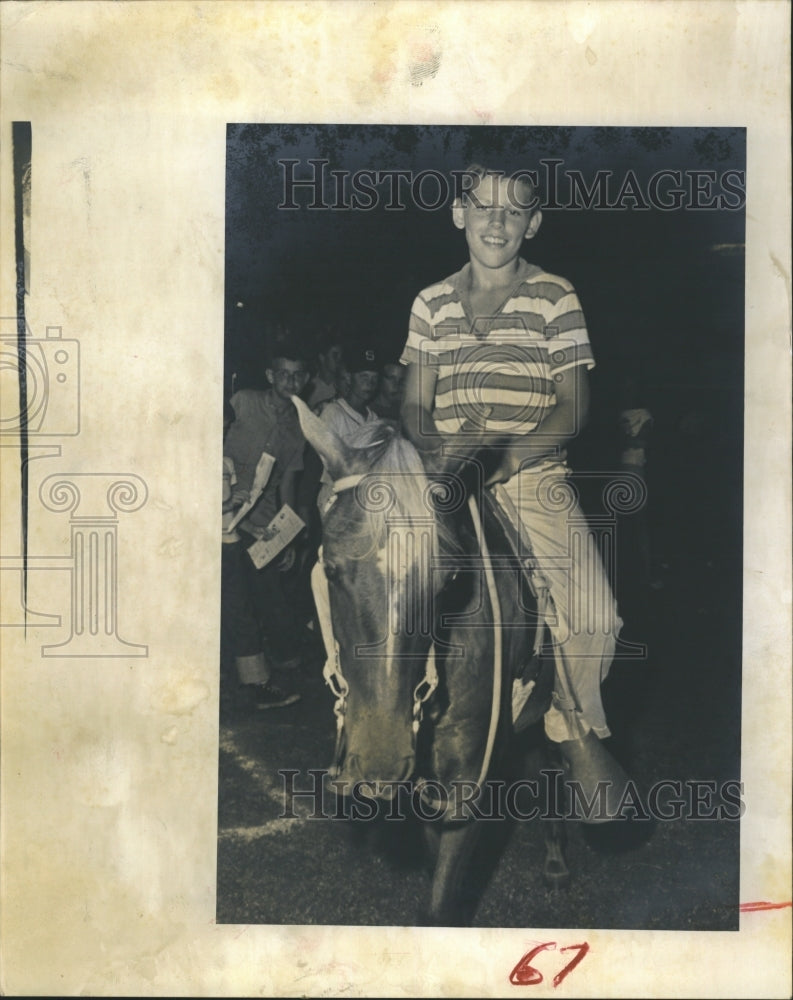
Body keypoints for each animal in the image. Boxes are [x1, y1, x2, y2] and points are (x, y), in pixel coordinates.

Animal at [294, 396, 568, 920]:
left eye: (449, 580)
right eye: (332, 570)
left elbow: (441, 905)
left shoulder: (467, 783)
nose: (378, 759)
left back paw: (555, 859)